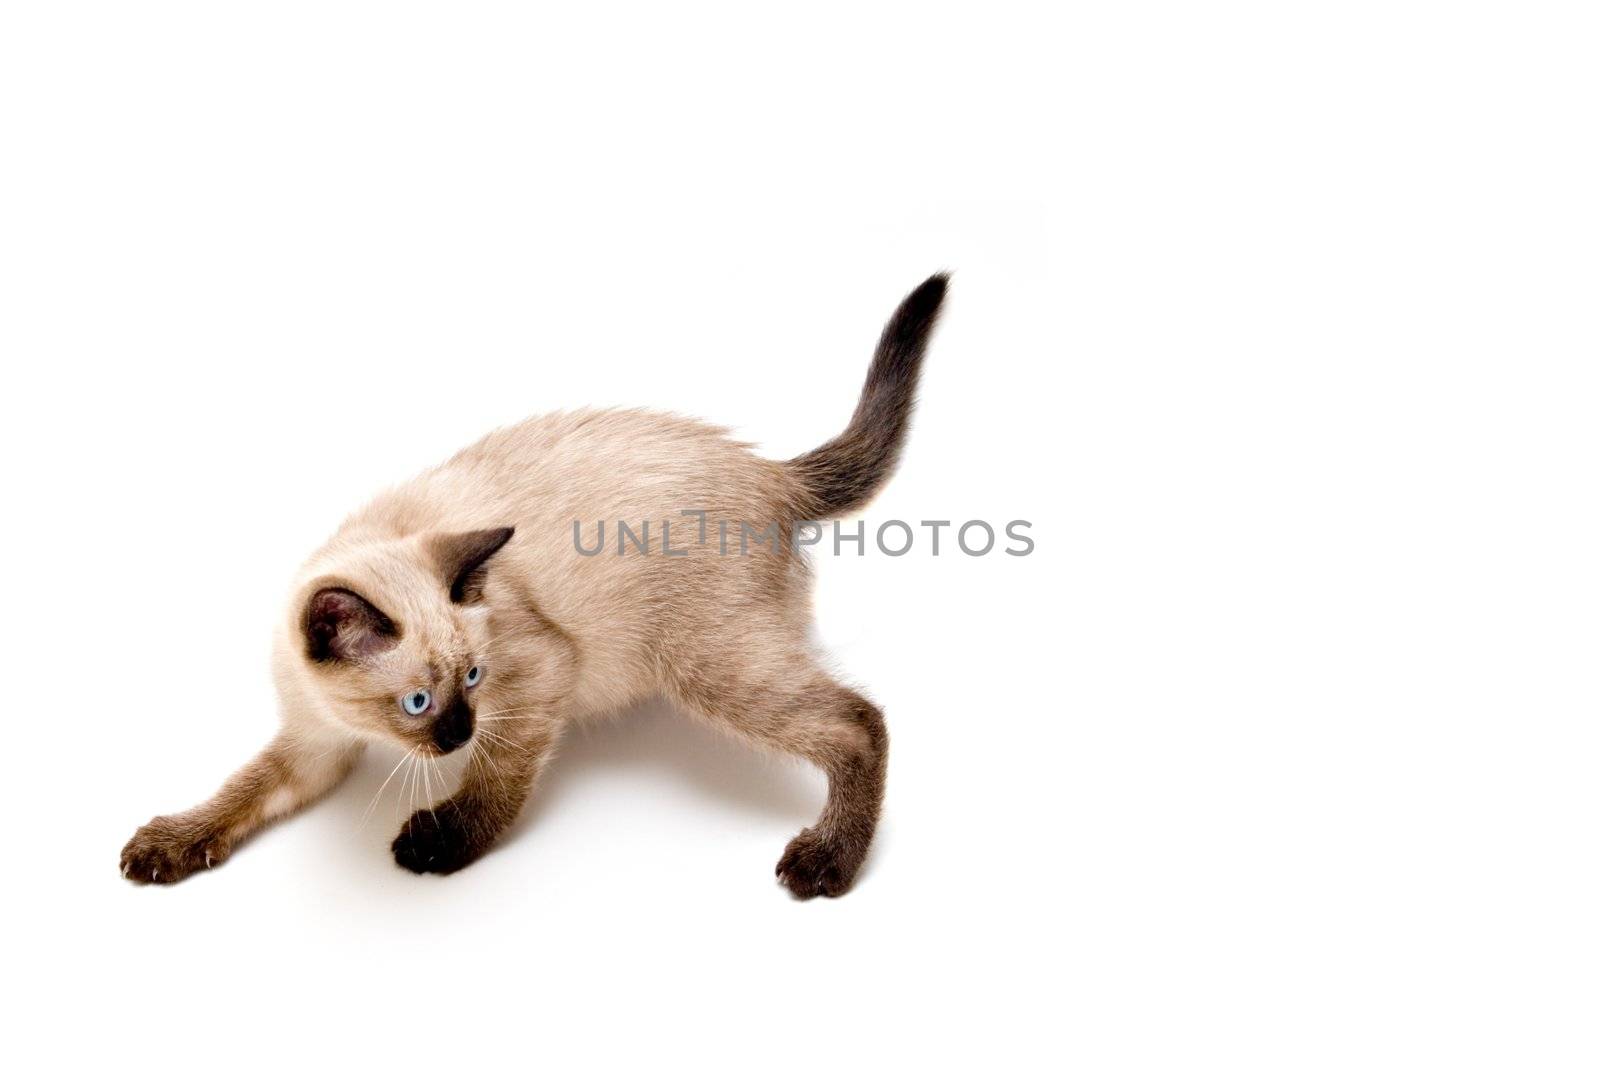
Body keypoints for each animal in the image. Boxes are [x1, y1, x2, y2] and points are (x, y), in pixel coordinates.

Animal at [124, 275, 947, 902]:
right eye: (417, 702)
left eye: (473, 679)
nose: (457, 734)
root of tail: (773, 472)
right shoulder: (312, 745)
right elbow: (243, 790)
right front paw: (169, 843)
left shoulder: (541, 675)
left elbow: (499, 779)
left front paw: (440, 843)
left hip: (710, 666)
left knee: (861, 722)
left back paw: (828, 863)